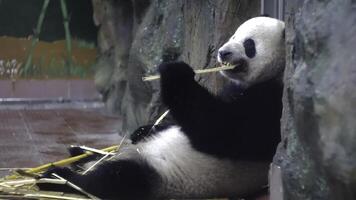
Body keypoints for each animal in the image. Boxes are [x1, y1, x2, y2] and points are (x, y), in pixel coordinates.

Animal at [39, 16, 286, 199]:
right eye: (234, 35)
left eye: (249, 44)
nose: (223, 52)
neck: (268, 77)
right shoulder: (232, 89)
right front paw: (143, 129)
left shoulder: (272, 103)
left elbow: (221, 131)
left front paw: (176, 72)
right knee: (102, 157)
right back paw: (78, 152)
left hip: (164, 175)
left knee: (116, 179)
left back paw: (58, 177)